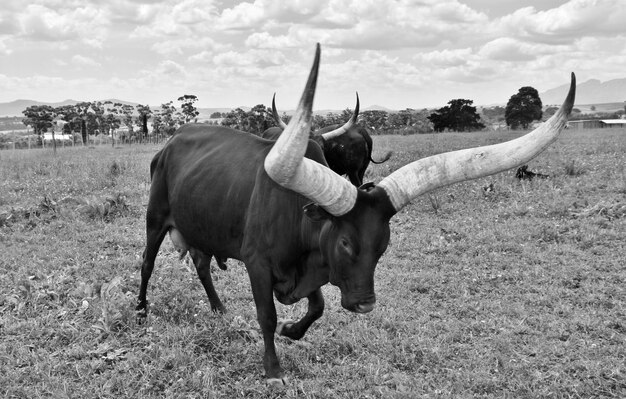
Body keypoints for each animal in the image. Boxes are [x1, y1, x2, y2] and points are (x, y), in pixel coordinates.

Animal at [136, 44, 576, 388]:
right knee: (146, 263)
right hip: (155, 220)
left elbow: (316, 307)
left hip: (199, 228)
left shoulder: (312, 266)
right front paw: (273, 369)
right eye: (346, 242)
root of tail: (172, 140)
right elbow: (266, 316)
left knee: (201, 263)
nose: (365, 305)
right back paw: (141, 310)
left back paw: (218, 308)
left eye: (384, 245)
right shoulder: (258, 264)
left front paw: (293, 330)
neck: (296, 217)